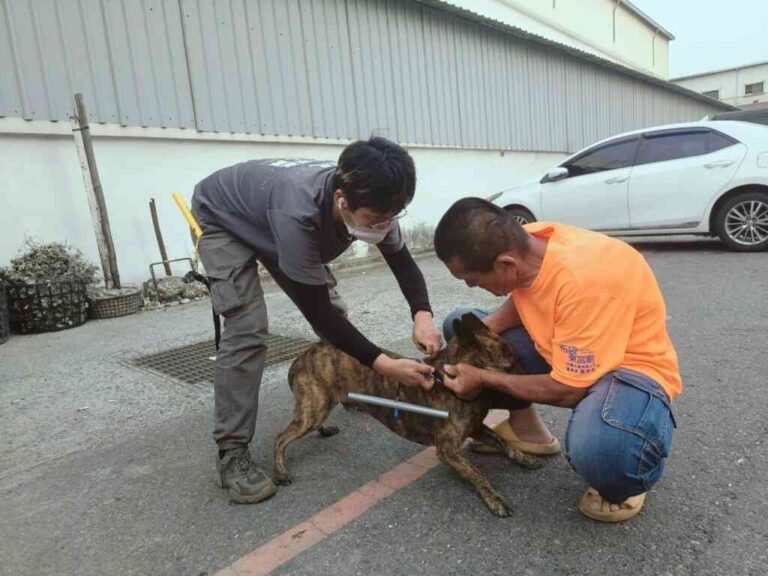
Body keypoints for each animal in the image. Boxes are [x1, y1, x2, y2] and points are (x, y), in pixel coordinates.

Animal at [272, 316, 544, 516]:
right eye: (511, 362)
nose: (538, 381)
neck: (449, 382)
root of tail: (300, 358)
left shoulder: (476, 428)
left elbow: (504, 441)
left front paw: (524, 458)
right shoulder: (447, 450)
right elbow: (477, 473)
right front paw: (494, 498)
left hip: (320, 405)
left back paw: (325, 430)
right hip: (313, 410)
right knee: (281, 437)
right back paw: (280, 472)